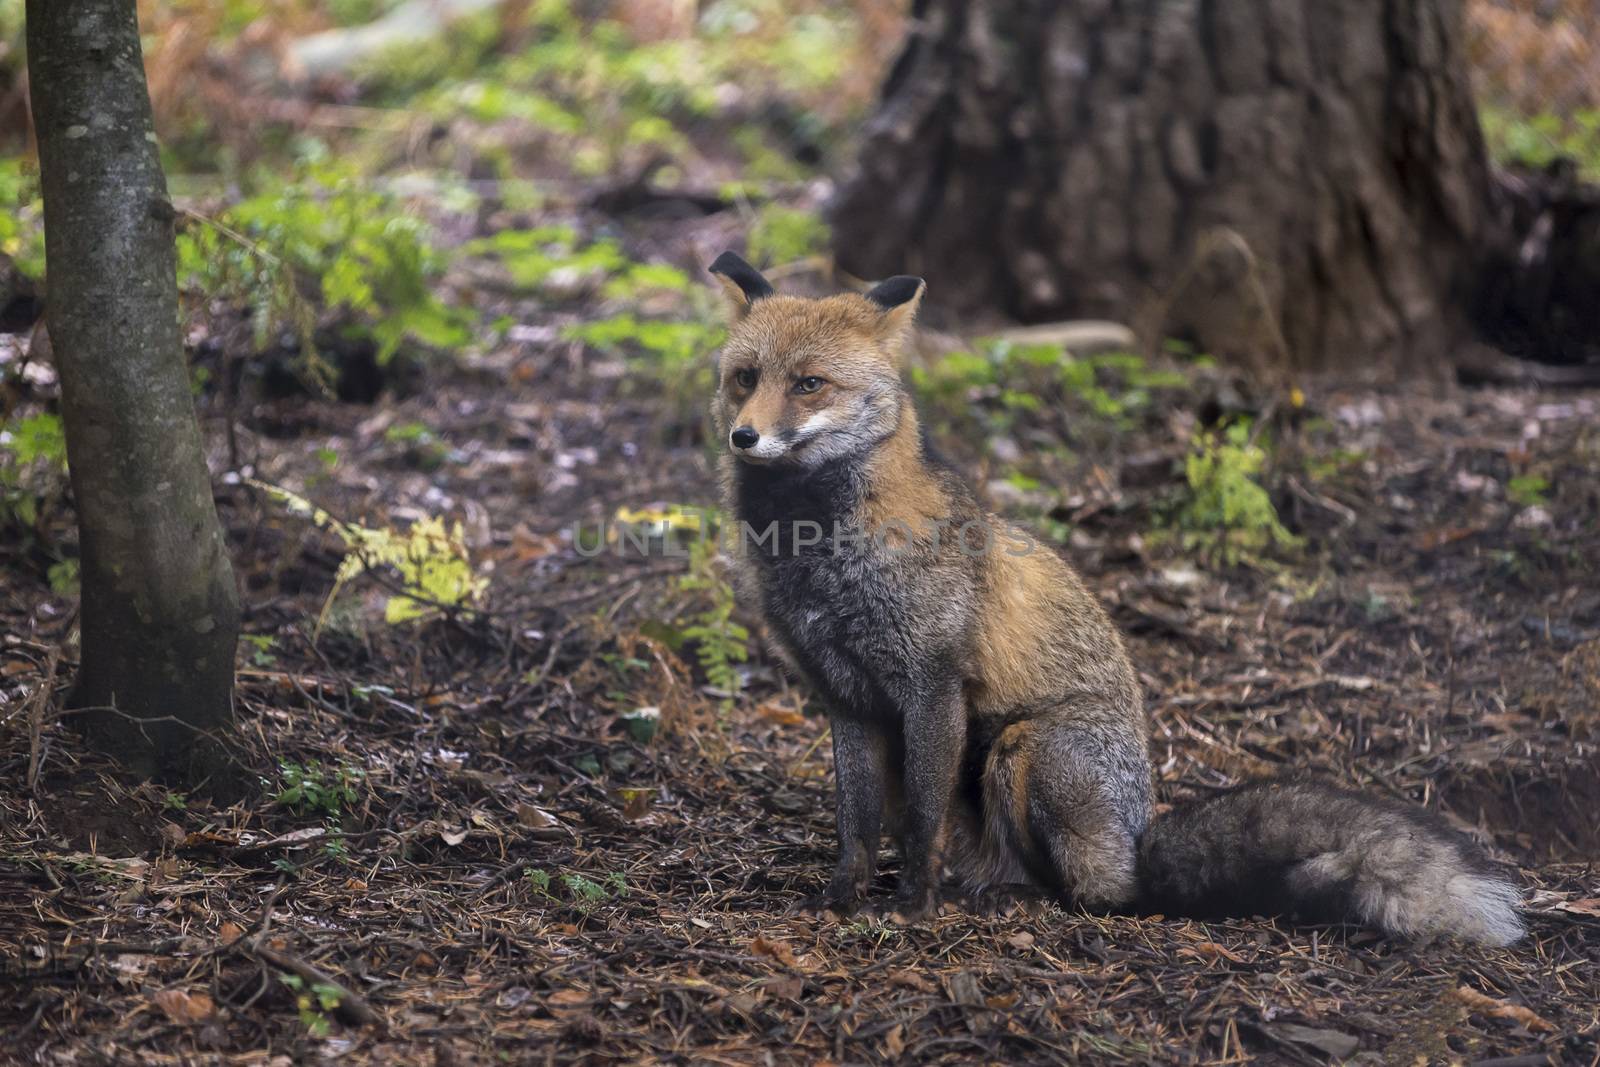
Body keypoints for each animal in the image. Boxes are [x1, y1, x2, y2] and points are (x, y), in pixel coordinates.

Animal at [710, 252, 1523, 953]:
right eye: (745, 377)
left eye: (809, 383)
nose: (744, 436)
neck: (820, 557)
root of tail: (1138, 843)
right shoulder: (846, 695)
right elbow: (856, 823)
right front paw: (842, 897)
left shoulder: (932, 686)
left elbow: (919, 825)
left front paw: (913, 905)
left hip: (1023, 748)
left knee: (1087, 893)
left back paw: (1013, 897)